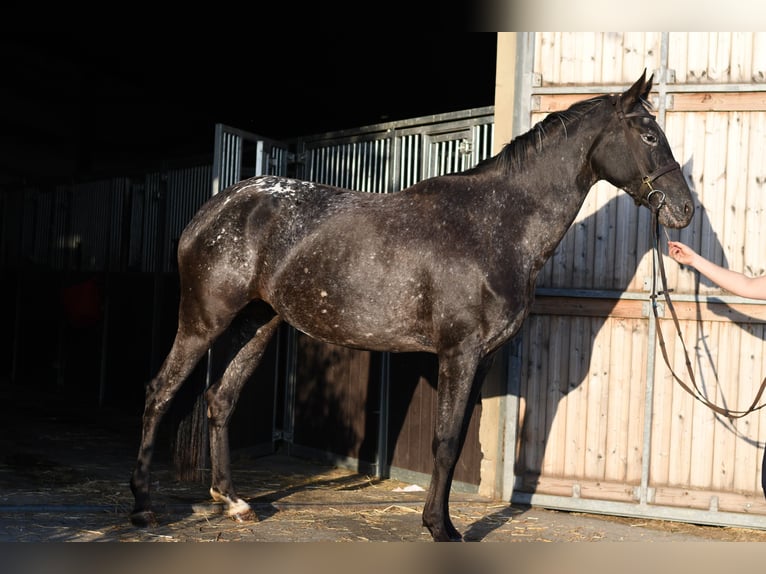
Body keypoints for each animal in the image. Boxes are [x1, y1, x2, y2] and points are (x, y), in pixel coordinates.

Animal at [129, 71, 694, 541]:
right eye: (649, 136)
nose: (684, 210)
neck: (496, 224)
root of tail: (214, 209)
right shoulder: (459, 353)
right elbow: (443, 441)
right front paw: (440, 528)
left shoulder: (480, 358)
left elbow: (456, 440)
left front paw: (440, 521)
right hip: (204, 321)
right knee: (159, 392)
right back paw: (143, 508)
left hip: (257, 324)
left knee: (221, 400)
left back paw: (235, 503)